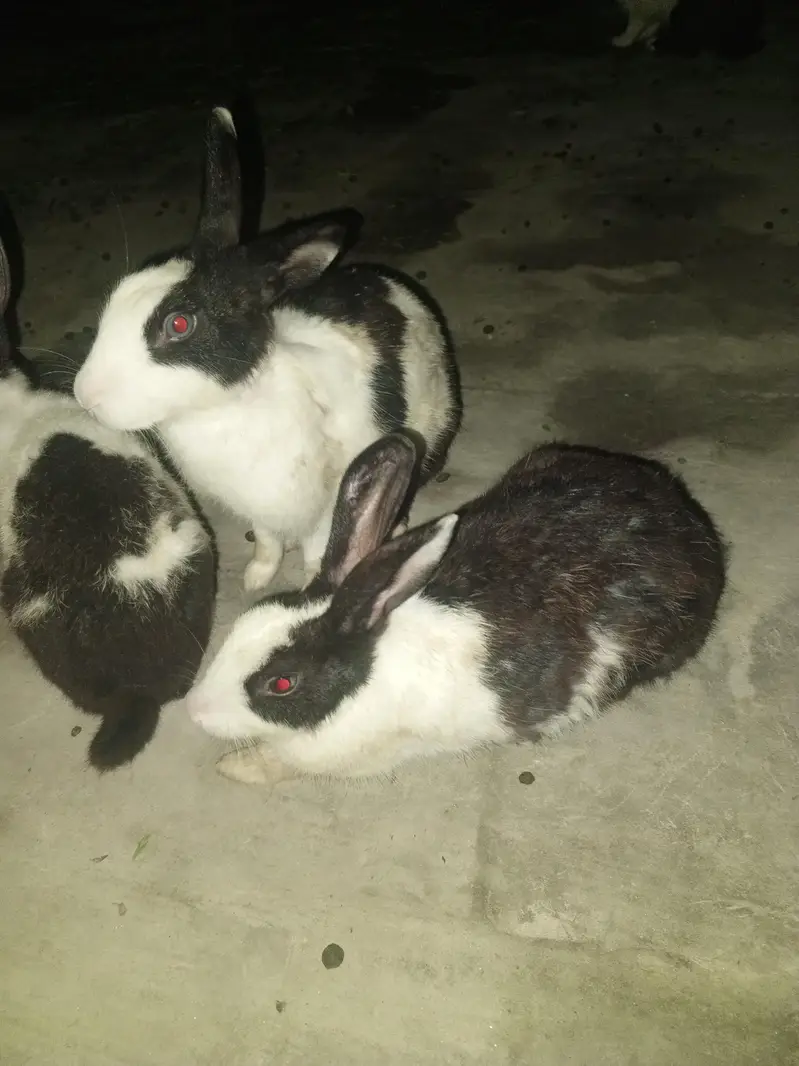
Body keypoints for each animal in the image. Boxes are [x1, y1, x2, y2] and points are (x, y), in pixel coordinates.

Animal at [73, 105, 462, 595]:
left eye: (179, 324)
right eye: (121, 292)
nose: (84, 396)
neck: (228, 407)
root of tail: (398, 288)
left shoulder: (327, 500)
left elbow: (319, 547)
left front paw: (311, 582)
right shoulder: (259, 509)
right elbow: (267, 542)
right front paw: (256, 579)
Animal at [185, 430, 726, 785]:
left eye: (282, 683)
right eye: (244, 622)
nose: (196, 711)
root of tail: (689, 521)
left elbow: (279, 762)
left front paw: (233, 767)